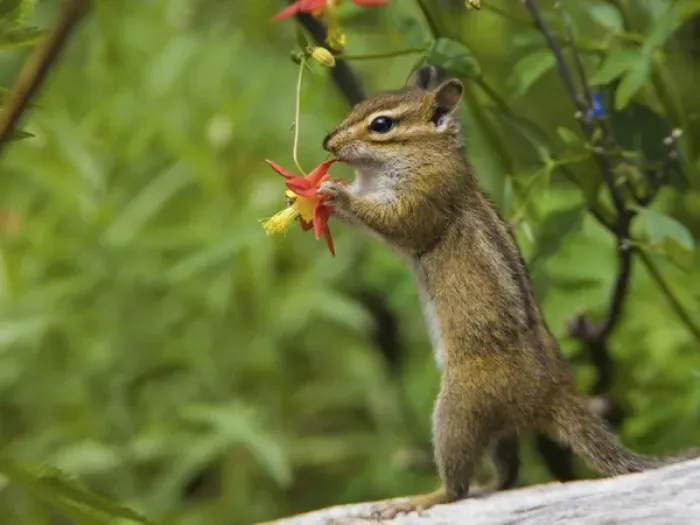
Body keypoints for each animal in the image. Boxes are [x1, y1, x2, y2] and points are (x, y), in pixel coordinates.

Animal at [316, 65, 696, 519]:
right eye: (357, 105)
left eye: (381, 125)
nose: (327, 142)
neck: (425, 153)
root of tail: (554, 394)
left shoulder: (425, 196)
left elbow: (395, 223)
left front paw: (336, 195)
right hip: (499, 430)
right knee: (510, 473)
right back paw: (490, 486)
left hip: (458, 408)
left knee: (457, 484)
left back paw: (422, 499)